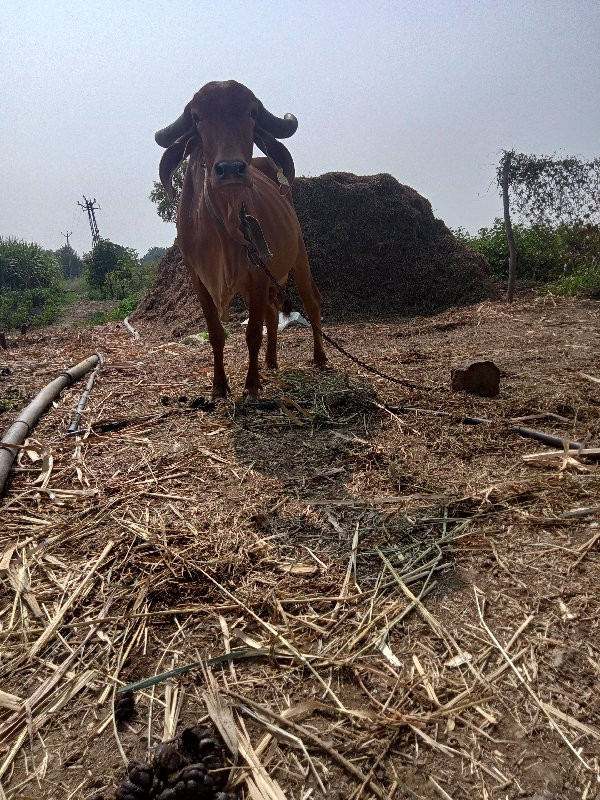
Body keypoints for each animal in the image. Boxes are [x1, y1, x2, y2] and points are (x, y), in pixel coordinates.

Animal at [152, 78, 326, 396]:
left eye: (252, 113)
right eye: (197, 117)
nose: (230, 169)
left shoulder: (257, 274)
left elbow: (252, 333)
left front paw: (252, 384)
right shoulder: (199, 278)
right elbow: (216, 334)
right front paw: (219, 385)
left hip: (299, 257)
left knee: (311, 302)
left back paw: (319, 357)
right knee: (272, 313)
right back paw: (271, 361)